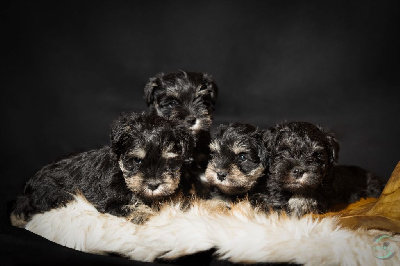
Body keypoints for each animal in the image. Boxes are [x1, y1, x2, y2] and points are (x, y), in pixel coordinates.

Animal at [10, 112, 194, 227]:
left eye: (169, 161)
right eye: (136, 160)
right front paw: (145, 214)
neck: (122, 174)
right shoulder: (109, 202)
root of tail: (29, 185)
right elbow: (130, 207)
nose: (154, 185)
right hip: (54, 195)